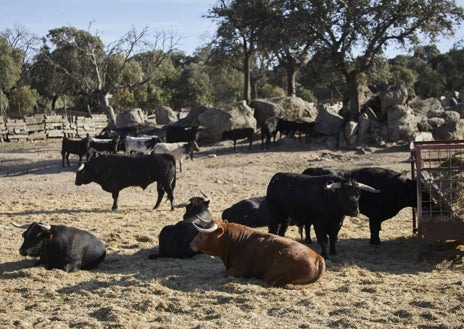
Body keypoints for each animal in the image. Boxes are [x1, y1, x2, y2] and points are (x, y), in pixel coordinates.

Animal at [190, 219, 324, 288]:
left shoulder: (239, 270)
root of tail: (317, 257)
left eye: (204, 234)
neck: (238, 241)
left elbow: (225, 274)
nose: (191, 244)